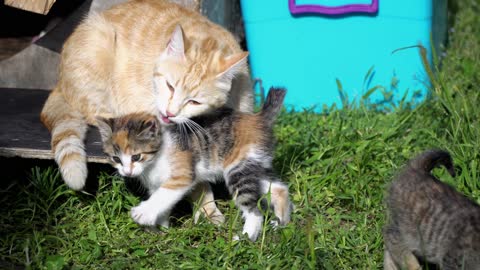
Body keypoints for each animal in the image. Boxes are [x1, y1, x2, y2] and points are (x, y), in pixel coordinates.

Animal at [97, 113, 225, 227]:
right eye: (116, 159)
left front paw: (144, 213)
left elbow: (164, 195)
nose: (127, 172)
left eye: (136, 157)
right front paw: (161, 229)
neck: (154, 162)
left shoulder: (183, 172)